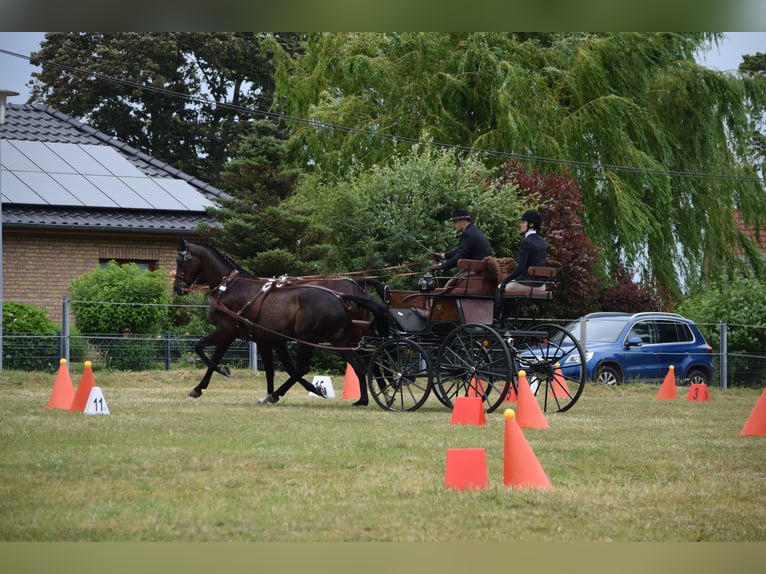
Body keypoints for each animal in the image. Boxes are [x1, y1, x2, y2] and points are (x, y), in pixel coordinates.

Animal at [174, 241, 390, 408]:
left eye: (181, 262)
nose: (177, 288)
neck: (229, 287)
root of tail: (343, 296)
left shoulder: (226, 331)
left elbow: (205, 352)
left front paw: (211, 379)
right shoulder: (268, 340)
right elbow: (273, 369)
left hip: (309, 339)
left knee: (304, 367)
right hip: (341, 339)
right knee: (361, 363)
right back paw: (368, 398)